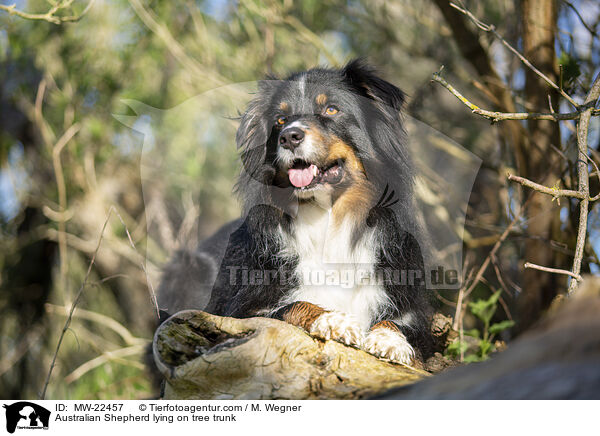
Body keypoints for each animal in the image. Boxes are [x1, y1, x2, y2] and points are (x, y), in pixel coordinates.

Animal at [157, 58, 434, 364]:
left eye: (331, 109)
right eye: (280, 119)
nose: (289, 137)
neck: (326, 216)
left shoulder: (407, 302)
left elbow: (399, 322)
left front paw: (389, 341)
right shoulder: (240, 309)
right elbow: (292, 305)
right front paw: (334, 319)